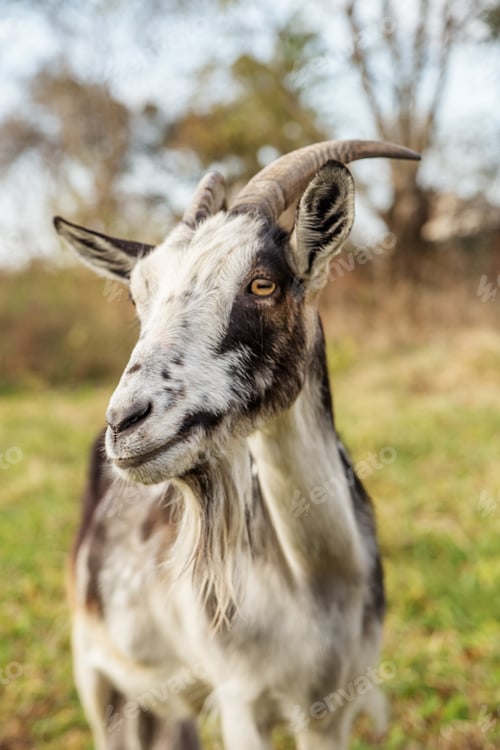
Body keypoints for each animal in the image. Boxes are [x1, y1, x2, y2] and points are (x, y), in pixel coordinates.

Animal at [55, 140, 419, 750]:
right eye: (137, 299)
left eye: (262, 283)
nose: (125, 423)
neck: (316, 578)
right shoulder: (239, 698)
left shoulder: (332, 707)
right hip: (96, 674)